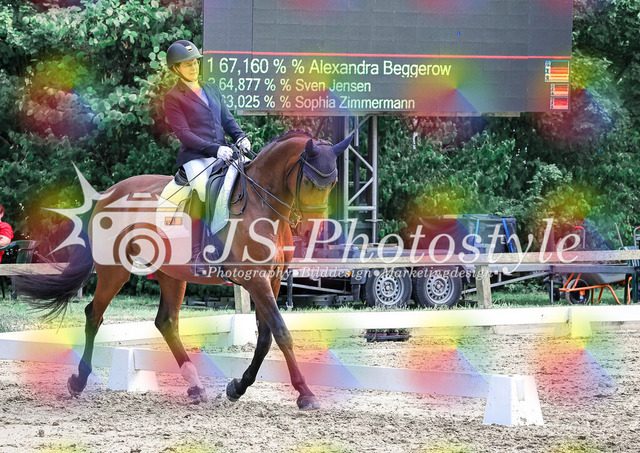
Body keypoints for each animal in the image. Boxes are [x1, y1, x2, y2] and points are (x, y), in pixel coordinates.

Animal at [18, 130, 351, 410]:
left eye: (332, 183)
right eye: (308, 182)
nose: (311, 230)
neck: (263, 206)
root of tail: (108, 193)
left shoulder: (273, 278)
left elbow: (265, 338)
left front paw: (237, 387)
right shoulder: (255, 280)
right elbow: (281, 333)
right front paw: (305, 393)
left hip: (171, 274)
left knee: (166, 322)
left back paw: (195, 387)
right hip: (115, 271)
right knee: (94, 315)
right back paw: (78, 381)